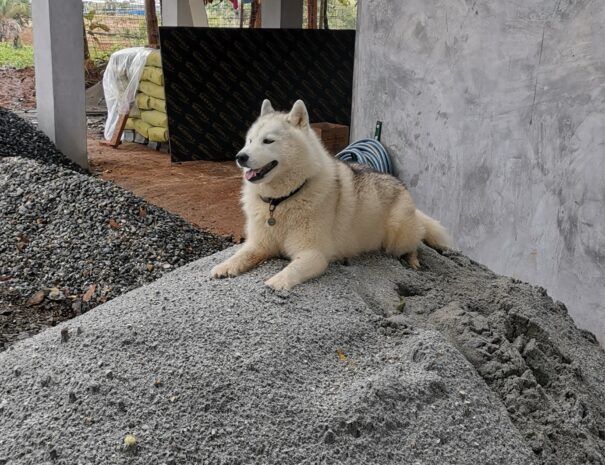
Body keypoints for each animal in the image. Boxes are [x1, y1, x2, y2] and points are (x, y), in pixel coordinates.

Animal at [212, 101, 448, 288]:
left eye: (268, 141)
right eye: (250, 140)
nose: (240, 157)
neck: (280, 201)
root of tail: (400, 185)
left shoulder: (313, 254)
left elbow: (292, 269)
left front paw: (277, 281)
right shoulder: (259, 245)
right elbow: (240, 255)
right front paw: (224, 266)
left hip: (397, 237)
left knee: (414, 244)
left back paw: (413, 261)